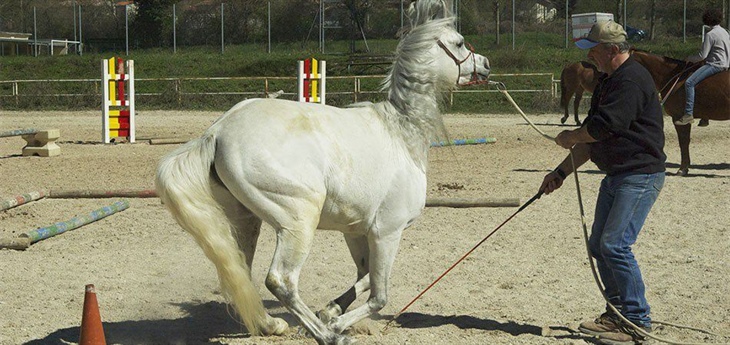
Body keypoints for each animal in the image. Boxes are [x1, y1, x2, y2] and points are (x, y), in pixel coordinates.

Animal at [158, 1, 490, 342]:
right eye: (459, 42)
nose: (485, 65)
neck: (402, 134)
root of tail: (217, 131)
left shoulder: (356, 231)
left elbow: (365, 277)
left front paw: (331, 310)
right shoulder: (387, 231)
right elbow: (379, 295)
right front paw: (335, 323)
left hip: (247, 220)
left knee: (241, 273)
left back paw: (271, 325)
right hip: (298, 221)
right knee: (281, 280)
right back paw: (327, 335)